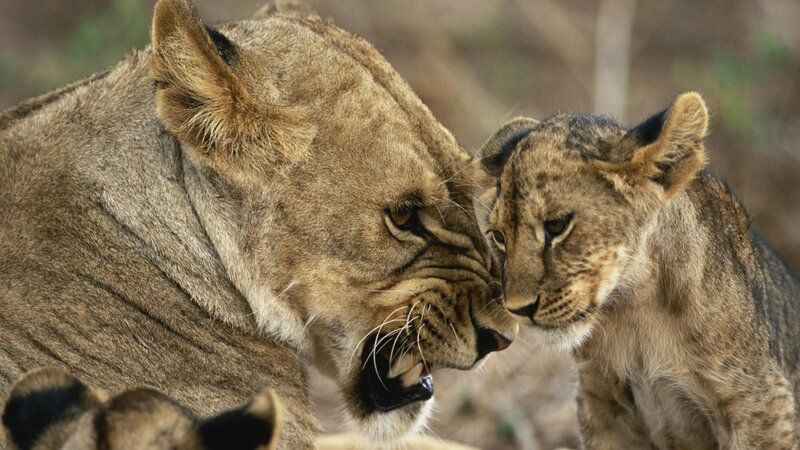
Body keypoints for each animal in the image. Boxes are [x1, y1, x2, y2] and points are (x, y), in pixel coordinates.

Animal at [476, 92, 800, 449]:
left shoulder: (761, 403)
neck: (635, 309)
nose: (518, 308)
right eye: (499, 237)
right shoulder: (602, 406)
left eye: (556, 225)